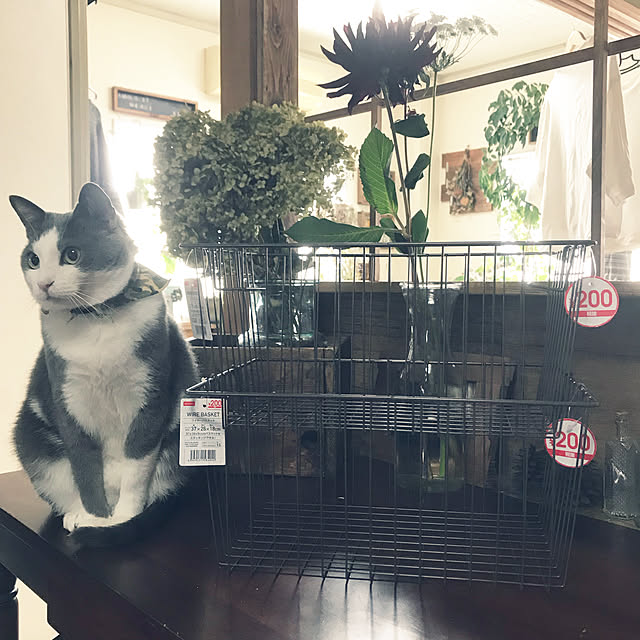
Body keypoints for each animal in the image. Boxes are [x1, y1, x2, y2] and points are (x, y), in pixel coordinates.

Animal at [9, 182, 198, 545]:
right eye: (33, 259)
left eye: (72, 254)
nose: (44, 283)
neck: (96, 319)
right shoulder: (68, 400)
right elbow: (83, 464)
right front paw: (96, 517)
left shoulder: (150, 396)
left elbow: (137, 465)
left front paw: (121, 519)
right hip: (30, 436)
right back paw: (76, 516)